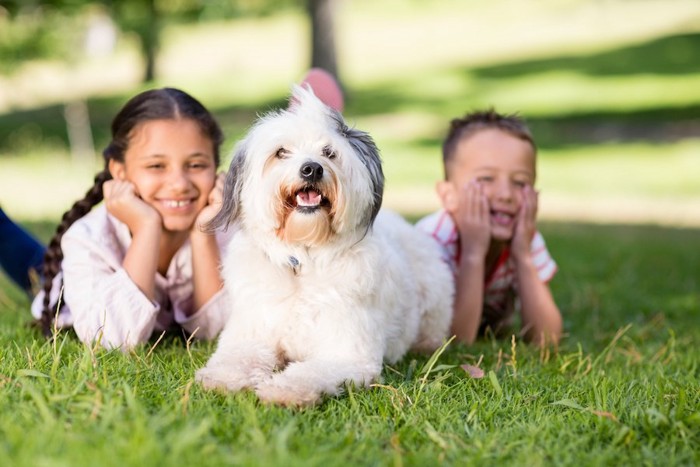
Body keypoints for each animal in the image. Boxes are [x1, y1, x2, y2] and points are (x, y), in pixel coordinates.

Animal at [196, 86, 454, 408]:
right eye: (281, 152)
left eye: (329, 153)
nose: (311, 169)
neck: (302, 260)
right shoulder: (251, 335)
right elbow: (236, 358)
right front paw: (223, 378)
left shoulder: (345, 353)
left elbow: (308, 371)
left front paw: (285, 389)